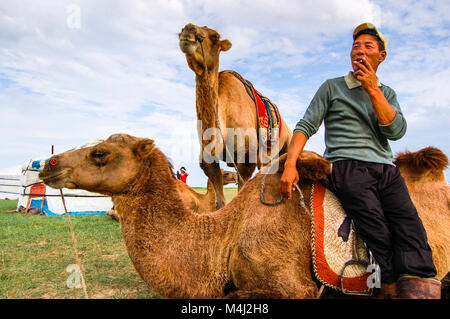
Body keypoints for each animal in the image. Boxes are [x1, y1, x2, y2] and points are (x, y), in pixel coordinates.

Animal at [178, 25, 292, 210]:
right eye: (182, 29)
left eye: (215, 36)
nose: (188, 30)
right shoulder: (209, 160)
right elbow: (220, 203)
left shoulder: (246, 157)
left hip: (285, 144)